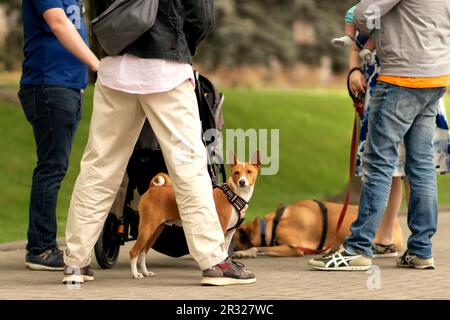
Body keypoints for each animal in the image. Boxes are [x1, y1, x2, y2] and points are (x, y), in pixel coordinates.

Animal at [129, 151, 260, 278]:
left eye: (249, 172)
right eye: (236, 172)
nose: (242, 182)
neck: (233, 196)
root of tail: (152, 188)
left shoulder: (229, 233)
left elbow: (224, 251)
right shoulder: (221, 229)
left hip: (156, 230)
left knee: (143, 253)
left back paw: (146, 272)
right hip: (147, 228)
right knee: (134, 251)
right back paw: (136, 274)